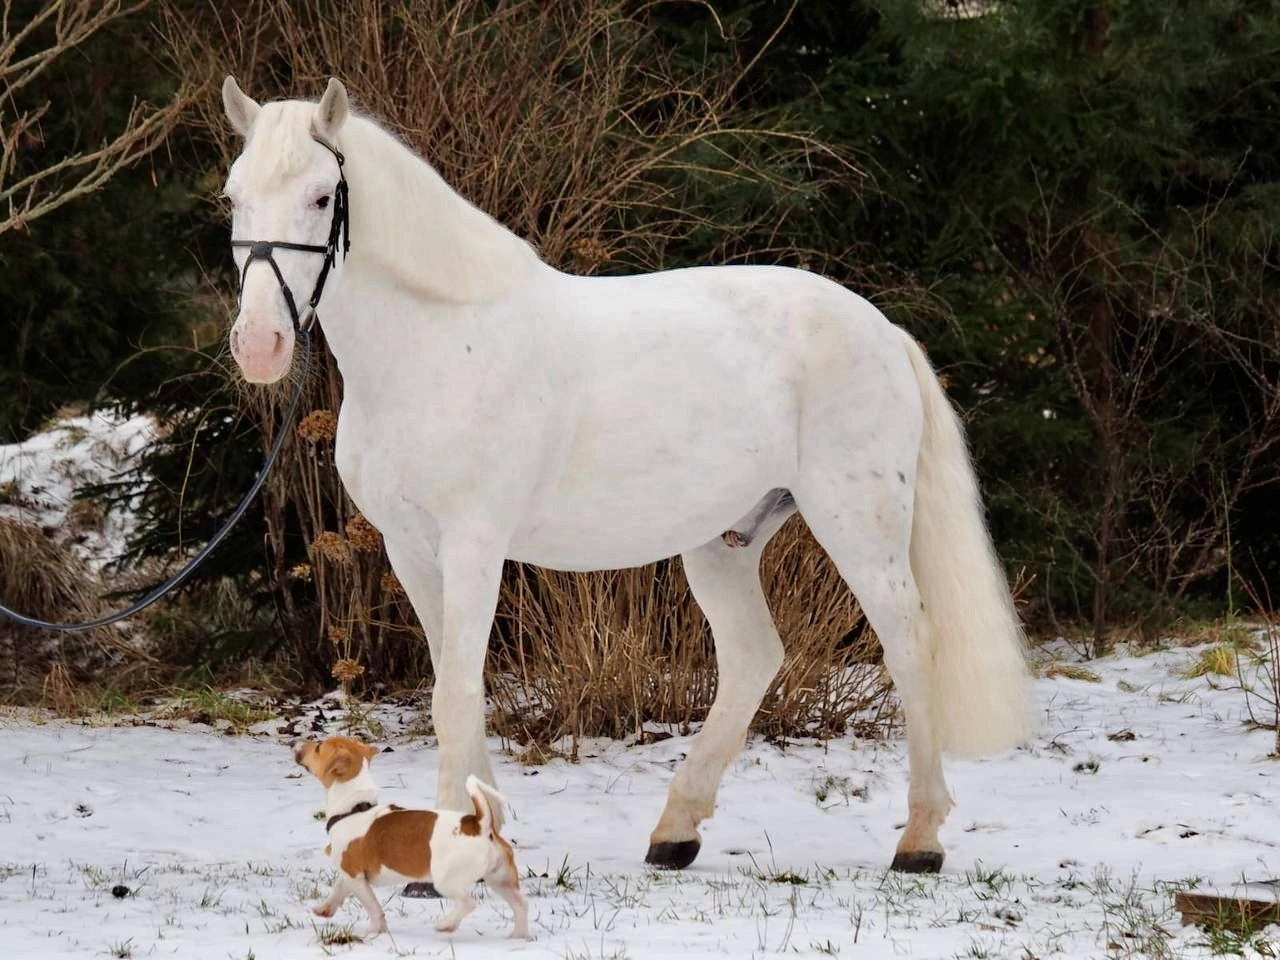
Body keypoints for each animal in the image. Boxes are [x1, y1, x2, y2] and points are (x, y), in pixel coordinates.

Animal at [220, 75, 1035, 875]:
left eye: (321, 197)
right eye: (233, 197)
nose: (260, 344)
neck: (438, 341)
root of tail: (884, 331)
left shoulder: (474, 544)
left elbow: (455, 692)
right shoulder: (411, 548)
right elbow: (456, 686)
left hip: (857, 525)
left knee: (909, 642)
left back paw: (919, 840)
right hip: (724, 540)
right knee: (754, 656)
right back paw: (675, 833)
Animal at [292, 736, 529, 939]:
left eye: (318, 747)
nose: (296, 743)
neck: (354, 808)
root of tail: (480, 824)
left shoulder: (356, 877)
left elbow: (373, 907)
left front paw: (373, 932)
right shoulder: (349, 874)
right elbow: (338, 889)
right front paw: (324, 909)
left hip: (446, 880)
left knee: (467, 903)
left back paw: (446, 925)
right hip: (501, 880)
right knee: (521, 904)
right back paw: (519, 936)